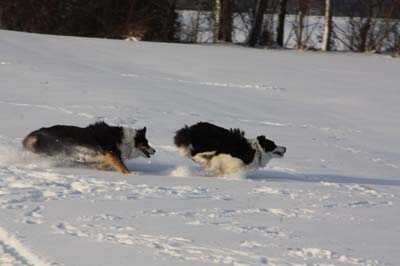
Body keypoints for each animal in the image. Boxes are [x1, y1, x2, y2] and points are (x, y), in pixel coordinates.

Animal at [21, 121, 156, 174]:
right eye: (146, 143)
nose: (154, 150)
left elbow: (105, 163)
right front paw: (132, 174)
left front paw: (97, 167)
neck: (127, 140)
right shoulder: (111, 152)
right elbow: (122, 166)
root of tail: (35, 134)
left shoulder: (107, 155)